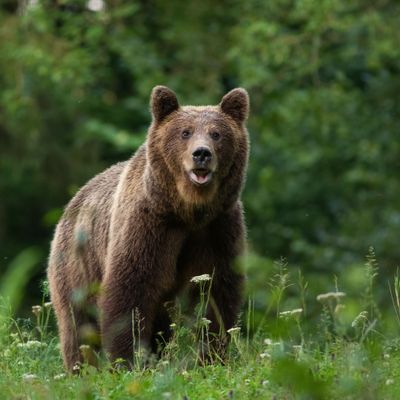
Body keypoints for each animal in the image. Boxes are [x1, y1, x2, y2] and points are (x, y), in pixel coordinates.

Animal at [47, 86, 250, 370]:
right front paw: (129, 361)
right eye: (185, 132)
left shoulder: (218, 228)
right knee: (78, 325)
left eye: (216, 133)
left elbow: (218, 295)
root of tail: (73, 201)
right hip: (77, 265)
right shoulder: (149, 227)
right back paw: (81, 368)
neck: (188, 211)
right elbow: (130, 292)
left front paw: (212, 357)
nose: (201, 154)